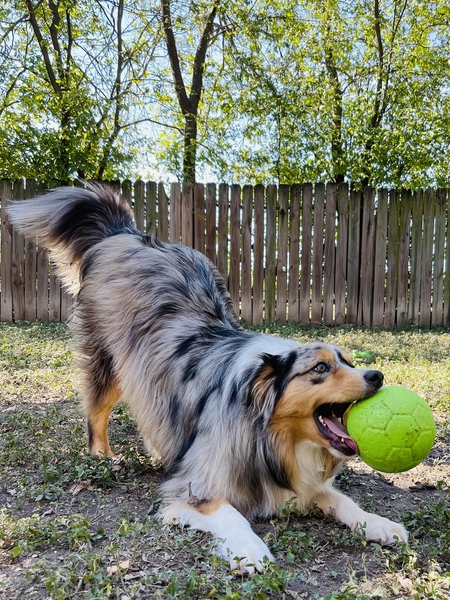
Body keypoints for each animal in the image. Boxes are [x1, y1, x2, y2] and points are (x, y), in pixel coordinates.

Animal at [7, 182, 408, 572]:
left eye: (349, 362)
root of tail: (124, 232)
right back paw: (102, 454)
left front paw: (379, 523)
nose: (376, 375)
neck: (267, 433)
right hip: (108, 362)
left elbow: (341, 498)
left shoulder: (302, 483)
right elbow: (229, 512)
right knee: (96, 411)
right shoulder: (192, 487)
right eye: (320, 368)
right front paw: (250, 549)